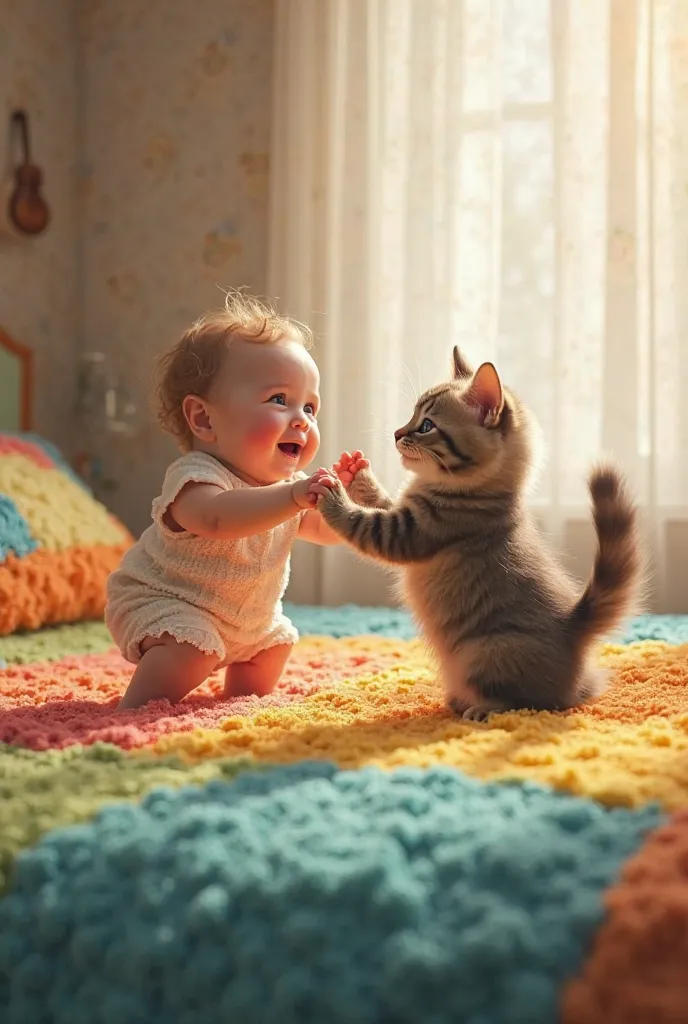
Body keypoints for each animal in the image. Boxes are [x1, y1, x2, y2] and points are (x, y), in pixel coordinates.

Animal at [315, 352, 642, 720]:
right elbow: (381, 500)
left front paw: (334, 495)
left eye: (426, 426)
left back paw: (481, 709)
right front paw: (357, 474)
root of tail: (573, 626)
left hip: (486, 651)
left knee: (531, 703)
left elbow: (360, 522)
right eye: (412, 416)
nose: (397, 434)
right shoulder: (402, 510)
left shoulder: (410, 531)